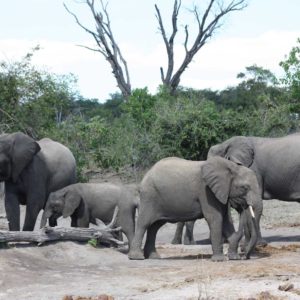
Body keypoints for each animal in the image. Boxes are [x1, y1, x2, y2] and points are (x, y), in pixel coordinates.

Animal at [129, 156, 260, 262]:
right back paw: (137, 257)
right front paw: (219, 260)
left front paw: (234, 258)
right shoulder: (206, 191)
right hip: (149, 197)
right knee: (144, 223)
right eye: (244, 187)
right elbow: (215, 218)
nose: (245, 256)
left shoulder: (221, 192)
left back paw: (154, 257)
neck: (230, 166)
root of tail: (147, 173)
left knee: (155, 227)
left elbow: (225, 219)